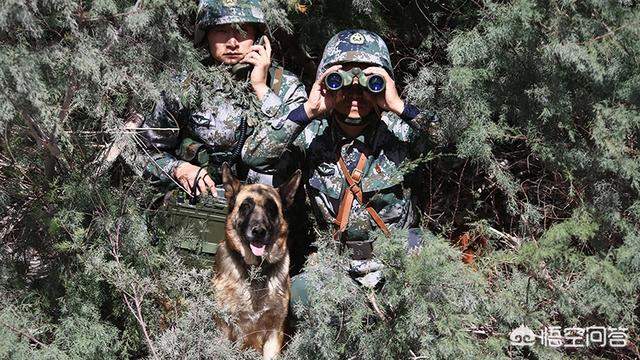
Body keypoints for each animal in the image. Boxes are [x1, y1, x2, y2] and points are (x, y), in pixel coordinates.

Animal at [215, 164, 300, 360]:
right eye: (246, 206)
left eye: (271, 209)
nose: (259, 231)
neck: (254, 270)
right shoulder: (225, 329)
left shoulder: (274, 333)